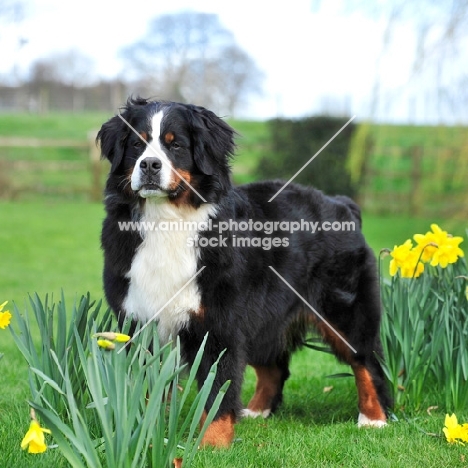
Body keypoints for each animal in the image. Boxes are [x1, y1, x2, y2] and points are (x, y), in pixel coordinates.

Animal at [96, 98, 392, 450]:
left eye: (175, 145)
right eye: (137, 144)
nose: (150, 165)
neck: (166, 221)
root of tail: (341, 202)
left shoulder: (219, 323)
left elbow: (217, 391)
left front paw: (212, 444)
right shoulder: (136, 320)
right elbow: (147, 389)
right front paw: (143, 432)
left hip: (344, 312)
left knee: (366, 361)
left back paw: (374, 419)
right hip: (264, 313)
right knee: (275, 366)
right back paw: (257, 411)